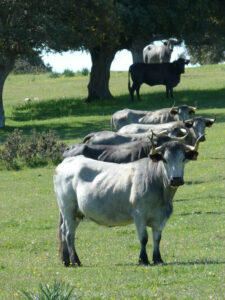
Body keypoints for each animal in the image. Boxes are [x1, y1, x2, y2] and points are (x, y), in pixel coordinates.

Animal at [54, 137, 200, 266]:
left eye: (183, 159)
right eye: (165, 160)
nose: (176, 179)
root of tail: (66, 162)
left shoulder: (160, 217)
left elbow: (157, 238)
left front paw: (158, 259)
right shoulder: (139, 214)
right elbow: (144, 238)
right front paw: (143, 260)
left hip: (77, 213)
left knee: (64, 231)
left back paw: (66, 261)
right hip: (68, 208)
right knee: (68, 234)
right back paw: (75, 261)